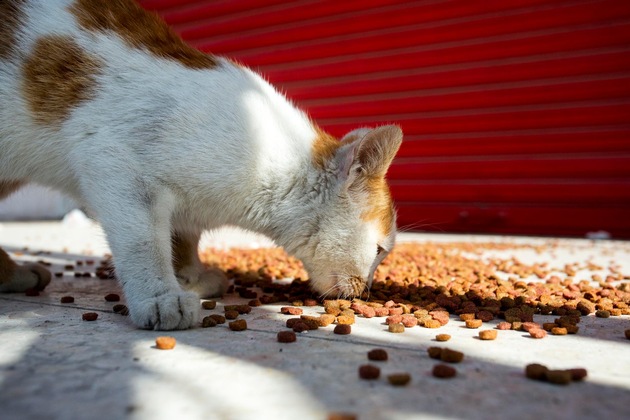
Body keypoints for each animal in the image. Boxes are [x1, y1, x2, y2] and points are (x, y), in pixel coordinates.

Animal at [0, 0, 402, 330]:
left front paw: (191, 276)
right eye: (379, 250)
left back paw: (13, 275)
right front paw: (161, 295)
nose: (366, 288)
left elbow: (182, 236)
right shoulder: (116, 163)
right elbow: (145, 242)